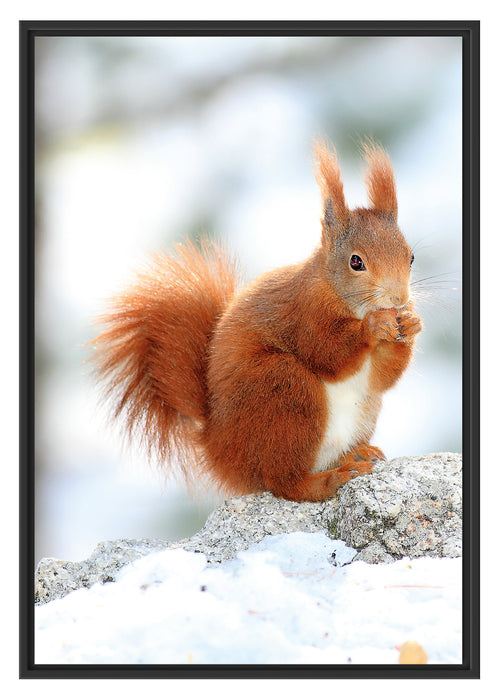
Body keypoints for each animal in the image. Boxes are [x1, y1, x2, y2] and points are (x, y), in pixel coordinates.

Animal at [91, 140, 422, 502]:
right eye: (356, 262)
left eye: (411, 257)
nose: (399, 299)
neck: (345, 298)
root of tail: (218, 448)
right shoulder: (304, 313)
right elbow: (328, 353)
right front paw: (373, 328)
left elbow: (382, 378)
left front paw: (412, 325)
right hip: (283, 390)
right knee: (285, 482)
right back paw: (330, 479)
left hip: (359, 410)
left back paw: (356, 454)